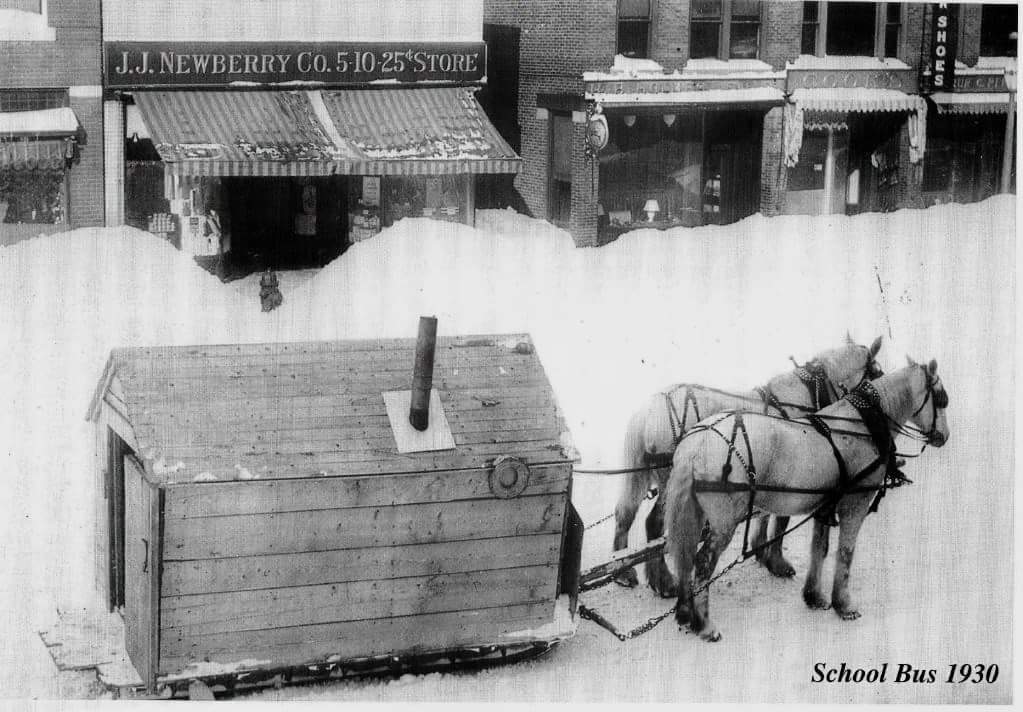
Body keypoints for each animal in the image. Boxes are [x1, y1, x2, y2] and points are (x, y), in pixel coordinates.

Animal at [609, 335, 883, 593]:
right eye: (877, 374)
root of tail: (648, 411)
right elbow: (780, 520)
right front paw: (776, 561)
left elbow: (765, 513)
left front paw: (761, 550)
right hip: (671, 480)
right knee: (654, 523)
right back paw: (663, 581)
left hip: (643, 474)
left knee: (625, 513)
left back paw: (623, 572)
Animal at [666, 358, 945, 642]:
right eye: (942, 399)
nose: (943, 437)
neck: (860, 427)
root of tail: (695, 444)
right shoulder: (855, 504)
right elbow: (845, 552)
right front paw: (844, 605)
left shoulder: (825, 506)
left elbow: (819, 549)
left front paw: (814, 596)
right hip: (724, 521)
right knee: (703, 562)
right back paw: (705, 624)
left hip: (695, 512)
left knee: (684, 556)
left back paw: (686, 613)